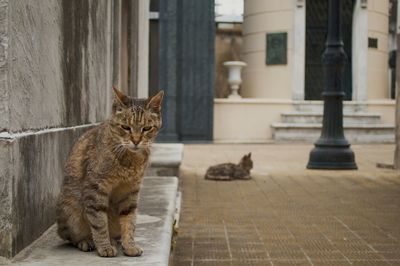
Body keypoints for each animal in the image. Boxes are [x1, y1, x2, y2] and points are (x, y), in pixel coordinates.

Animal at [55, 87, 163, 258]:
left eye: (146, 128)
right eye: (125, 127)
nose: (136, 141)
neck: (129, 160)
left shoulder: (131, 192)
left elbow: (129, 221)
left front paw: (130, 245)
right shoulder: (95, 190)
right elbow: (99, 223)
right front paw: (104, 247)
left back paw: (114, 240)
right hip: (70, 211)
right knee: (70, 237)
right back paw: (87, 241)